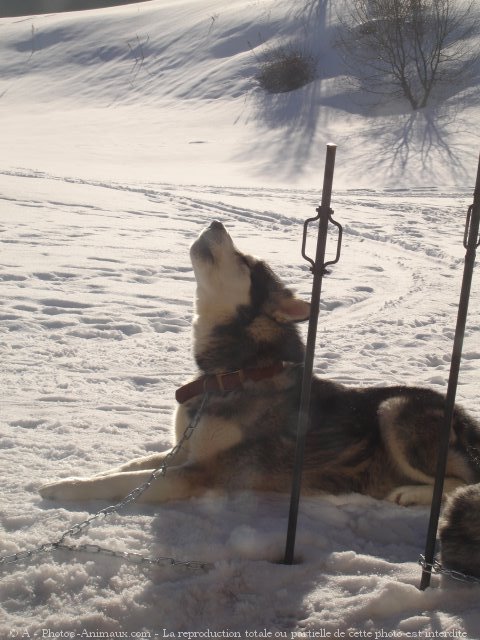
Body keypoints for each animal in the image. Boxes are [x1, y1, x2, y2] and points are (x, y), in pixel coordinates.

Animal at [41, 220, 480, 524]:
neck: (232, 373)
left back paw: (411, 494)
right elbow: (128, 468)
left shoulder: (203, 471)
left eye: (246, 262)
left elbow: (120, 483)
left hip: (394, 409)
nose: (217, 222)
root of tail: (465, 416)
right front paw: (73, 479)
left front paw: (59, 488)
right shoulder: (185, 449)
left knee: (467, 481)